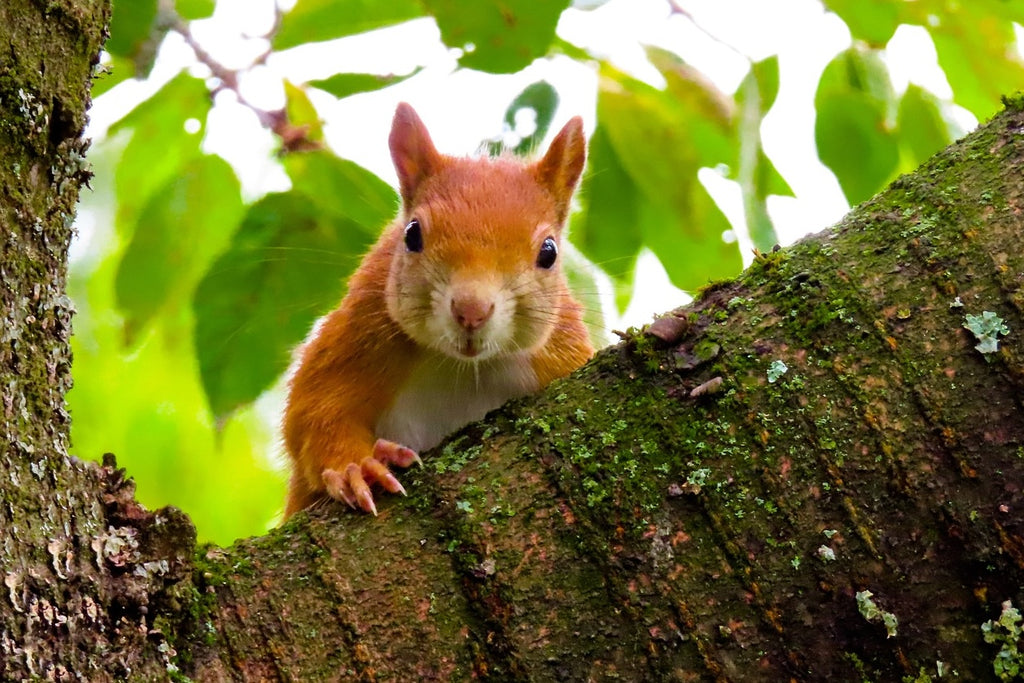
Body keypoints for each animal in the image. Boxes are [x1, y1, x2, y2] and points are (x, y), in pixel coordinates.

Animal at [284, 102, 598, 518]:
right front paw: (357, 466)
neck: (463, 369)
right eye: (412, 233)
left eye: (549, 252)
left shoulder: (560, 353)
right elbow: (314, 413)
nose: (471, 311)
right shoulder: (358, 333)